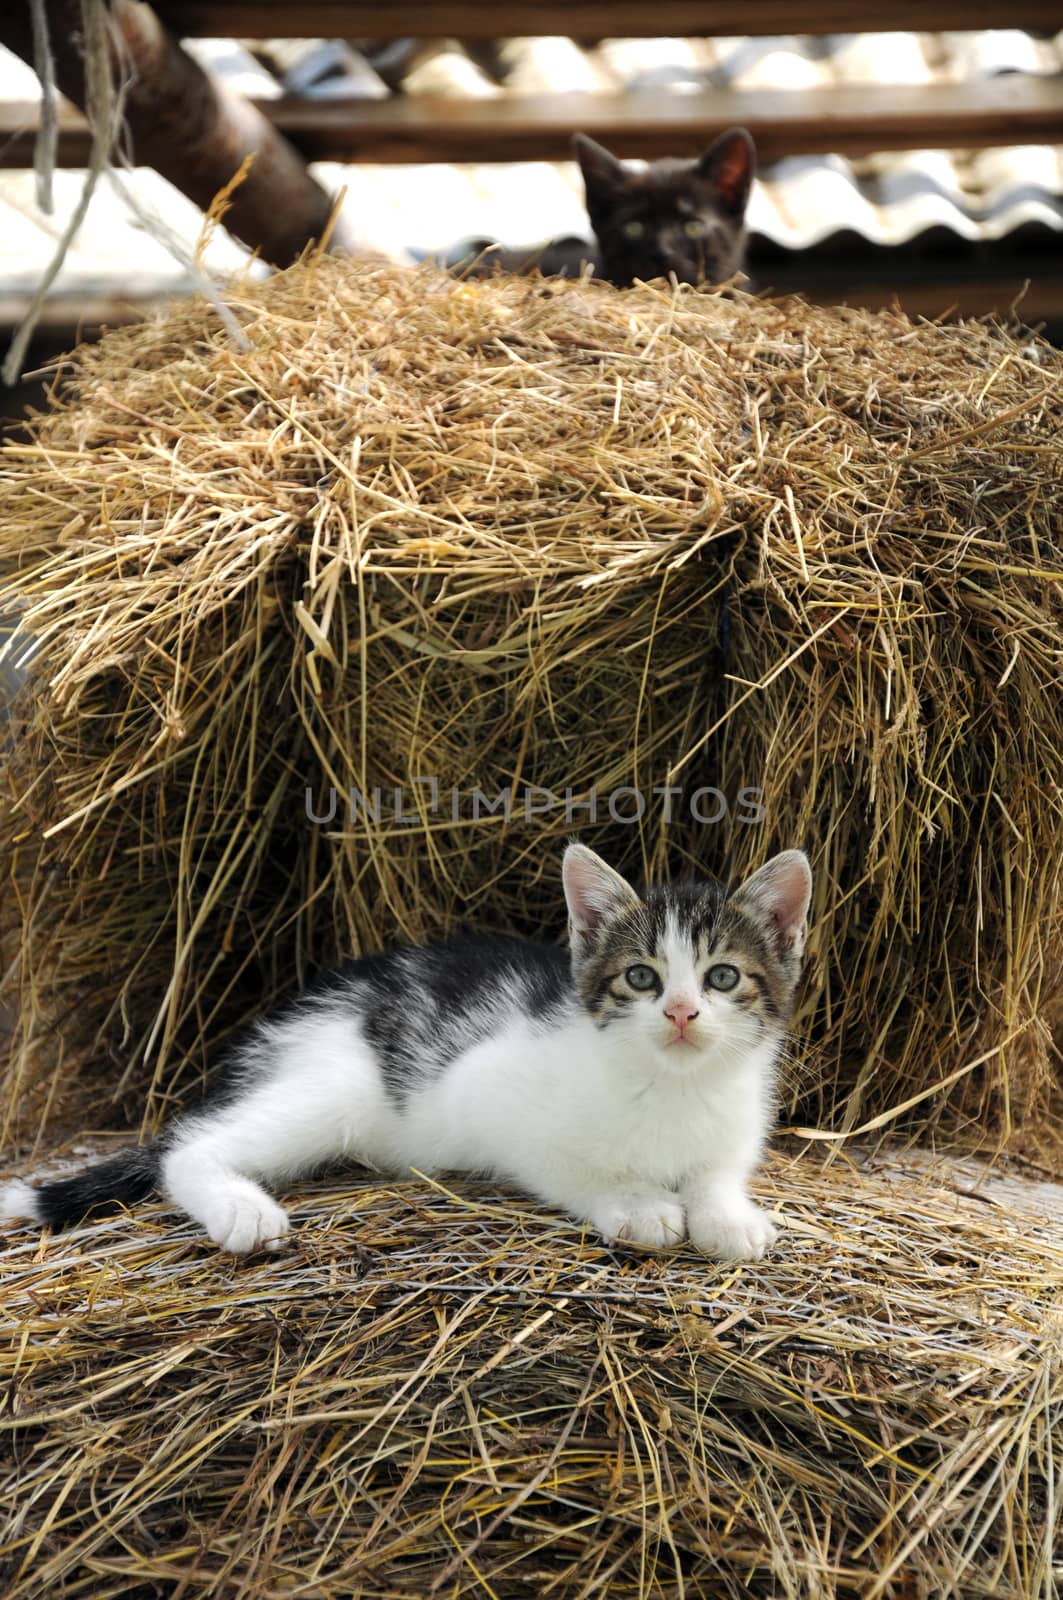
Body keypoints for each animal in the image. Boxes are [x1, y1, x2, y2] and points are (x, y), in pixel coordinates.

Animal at [2, 844, 813, 1254]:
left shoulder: (732, 1125)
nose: (679, 1011)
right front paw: (638, 1203)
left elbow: (714, 1173)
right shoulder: (487, 1091)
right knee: (188, 1145)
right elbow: (570, 1164)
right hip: (338, 1087)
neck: (673, 1085)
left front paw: (727, 1216)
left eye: (722, 976)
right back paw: (242, 1211)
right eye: (641, 976)